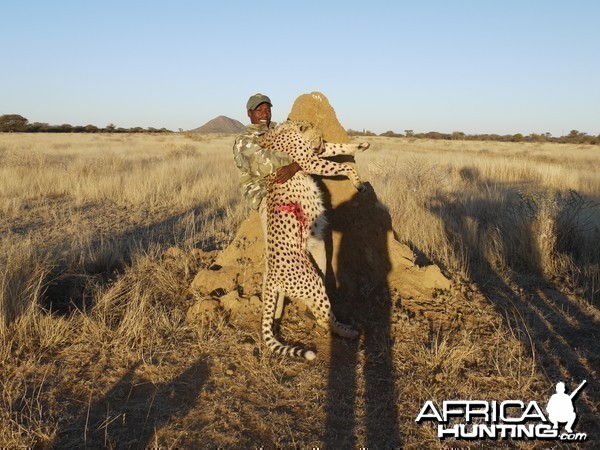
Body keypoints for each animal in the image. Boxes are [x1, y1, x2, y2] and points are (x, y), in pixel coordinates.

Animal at [254, 119, 368, 358]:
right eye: (318, 138)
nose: (319, 146)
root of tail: (272, 274)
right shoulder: (308, 161)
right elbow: (344, 166)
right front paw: (357, 182)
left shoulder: (314, 155)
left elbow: (337, 148)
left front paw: (361, 145)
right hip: (313, 282)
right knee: (324, 317)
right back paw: (349, 331)